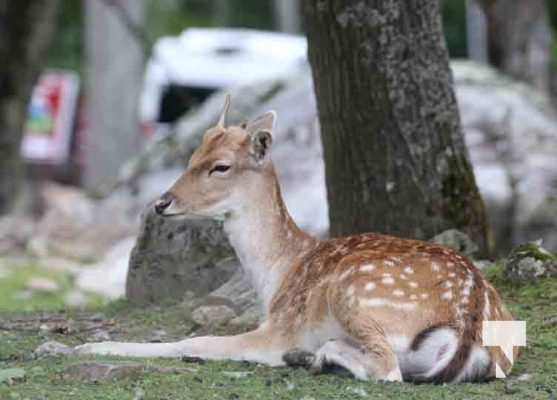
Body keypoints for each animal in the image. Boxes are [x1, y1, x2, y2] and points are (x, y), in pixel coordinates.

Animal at [76, 94, 520, 384]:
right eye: (191, 158)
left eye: (221, 166)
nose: (161, 203)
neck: (277, 275)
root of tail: (471, 319)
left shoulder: (279, 329)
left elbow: (194, 340)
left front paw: (89, 348)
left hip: (353, 291)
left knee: (387, 370)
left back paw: (316, 355)